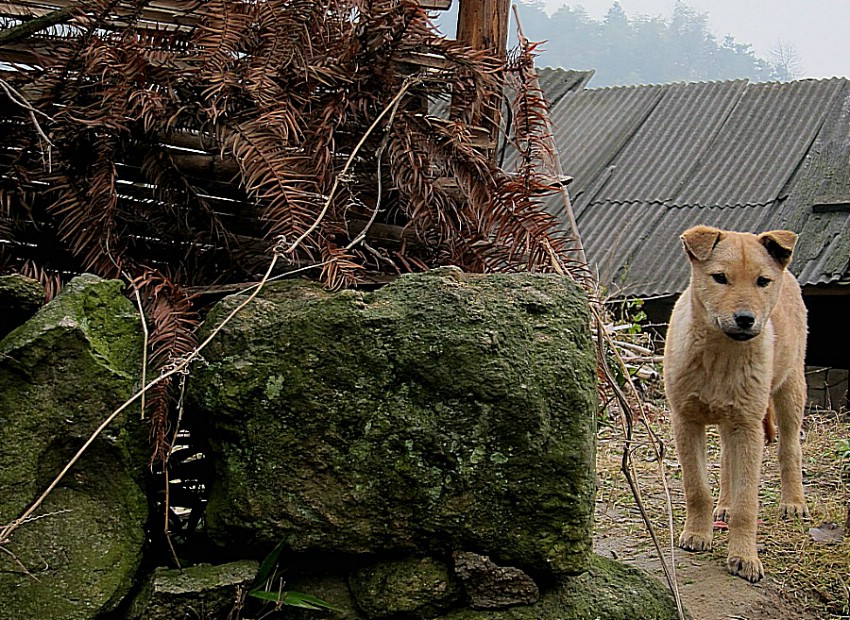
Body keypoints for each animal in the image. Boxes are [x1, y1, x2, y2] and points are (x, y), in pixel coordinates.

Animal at [664, 225, 808, 584]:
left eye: (762, 281)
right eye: (720, 278)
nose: (745, 319)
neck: (720, 356)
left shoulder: (748, 426)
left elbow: (748, 503)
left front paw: (744, 557)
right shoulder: (686, 420)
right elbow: (696, 487)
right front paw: (697, 534)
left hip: (790, 388)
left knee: (789, 449)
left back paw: (793, 502)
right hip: (731, 419)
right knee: (728, 460)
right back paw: (724, 506)